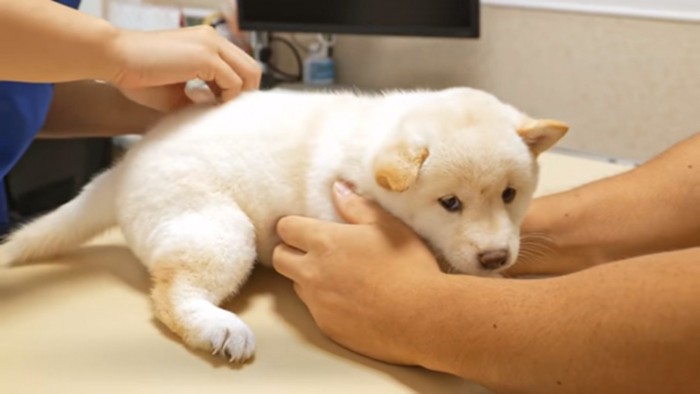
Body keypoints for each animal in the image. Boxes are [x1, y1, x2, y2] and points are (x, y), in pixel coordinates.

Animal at [0, 87, 568, 362]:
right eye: (449, 202)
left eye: (510, 195)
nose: (496, 257)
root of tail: (126, 164)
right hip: (222, 230)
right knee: (171, 294)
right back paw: (216, 326)